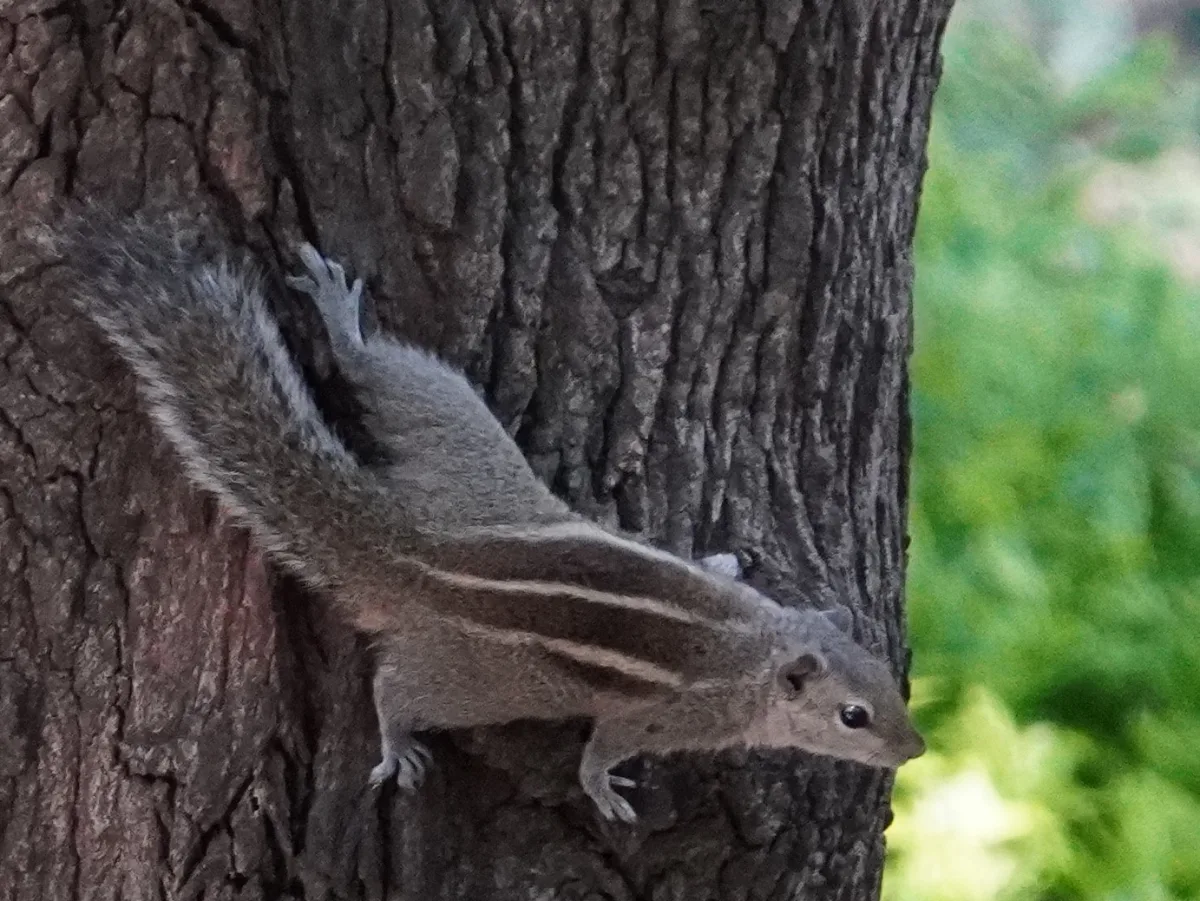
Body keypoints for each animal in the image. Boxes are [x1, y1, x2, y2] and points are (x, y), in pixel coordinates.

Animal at [48, 208, 925, 823]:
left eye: (891, 678)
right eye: (852, 715)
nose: (913, 748)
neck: (755, 647)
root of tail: (418, 551)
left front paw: (723, 558)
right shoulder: (658, 713)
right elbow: (601, 749)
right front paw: (603, 789)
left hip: (459, 443)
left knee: (385, 375)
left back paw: (340, 322)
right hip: (478, 676)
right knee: (399, 686)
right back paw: (397, 742)